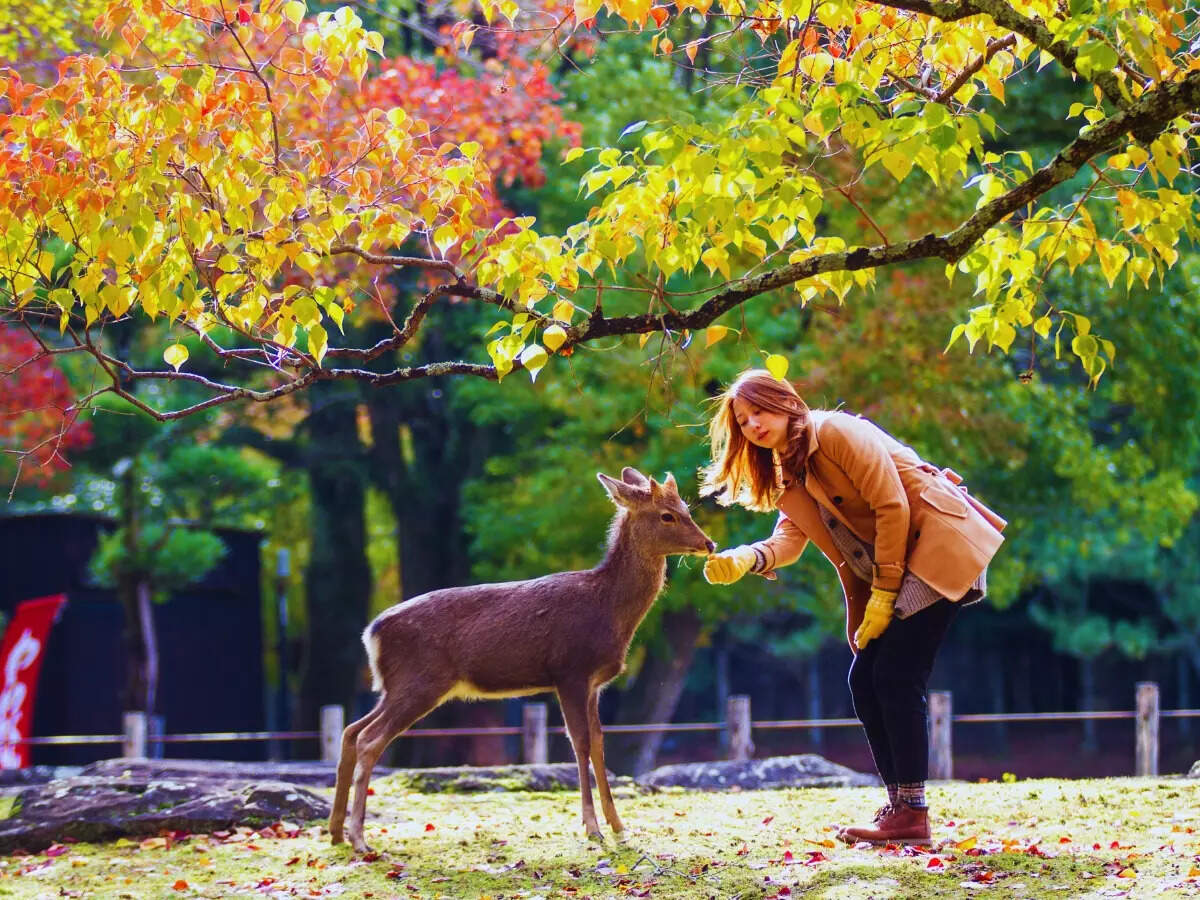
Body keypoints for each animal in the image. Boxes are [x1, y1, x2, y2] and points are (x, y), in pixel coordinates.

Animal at [328, 467, 716, 854]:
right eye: (667, 515)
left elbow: (599, 743)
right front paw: (593, 829)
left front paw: (620, 828)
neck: (609, 610)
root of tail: (371, 633)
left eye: (687, 508)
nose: (709, 544)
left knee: (351, 731)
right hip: (420, 681)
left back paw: (336, 833)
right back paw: (359, 838)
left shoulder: (594, 684)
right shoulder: (570, 671)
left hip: (395, 686)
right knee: (369, 739)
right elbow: (580, 744)